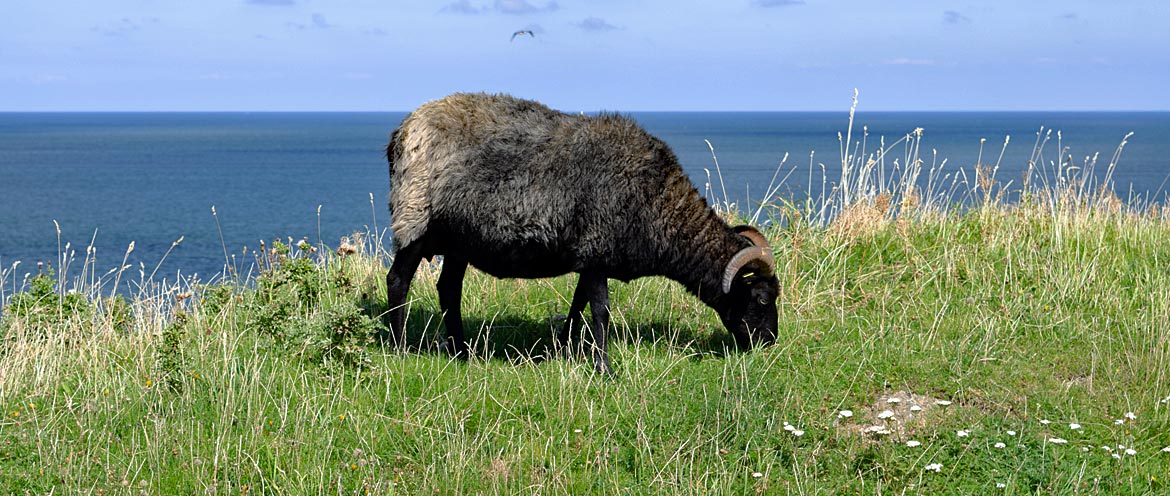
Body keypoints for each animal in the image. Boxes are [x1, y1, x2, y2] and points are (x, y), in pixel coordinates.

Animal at [383, 93, 781, 374]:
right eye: (762, 299)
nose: (770, 343)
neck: (658, 203)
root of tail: (403, 131)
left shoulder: (590, 256)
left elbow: (579, 306)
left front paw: (563, 348)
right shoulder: (596, 249)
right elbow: (601, 310)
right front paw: (605, 368)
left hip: (458, 241)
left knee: (449, 288)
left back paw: (462, 352)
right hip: (415, 217)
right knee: (398, 280)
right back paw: (401, 349)